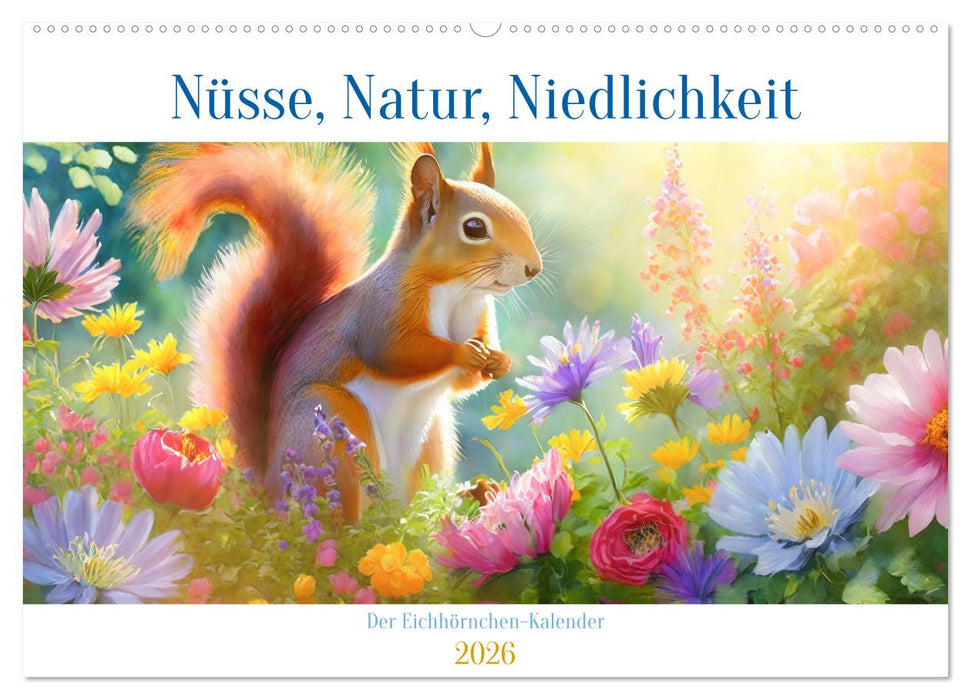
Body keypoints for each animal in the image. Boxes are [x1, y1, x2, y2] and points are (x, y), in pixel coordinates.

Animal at [129, 142, 542, 520]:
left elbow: (464, 382)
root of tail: (269, 484)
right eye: (474, 228)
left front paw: (498, 360)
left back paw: (464, 501)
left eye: (520, 214)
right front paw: (463, 352)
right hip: (331, 422)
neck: (459, 290)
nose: (533, 268)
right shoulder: (382, 309)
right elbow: (394, 353)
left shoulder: (478, 316)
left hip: (432, 440)